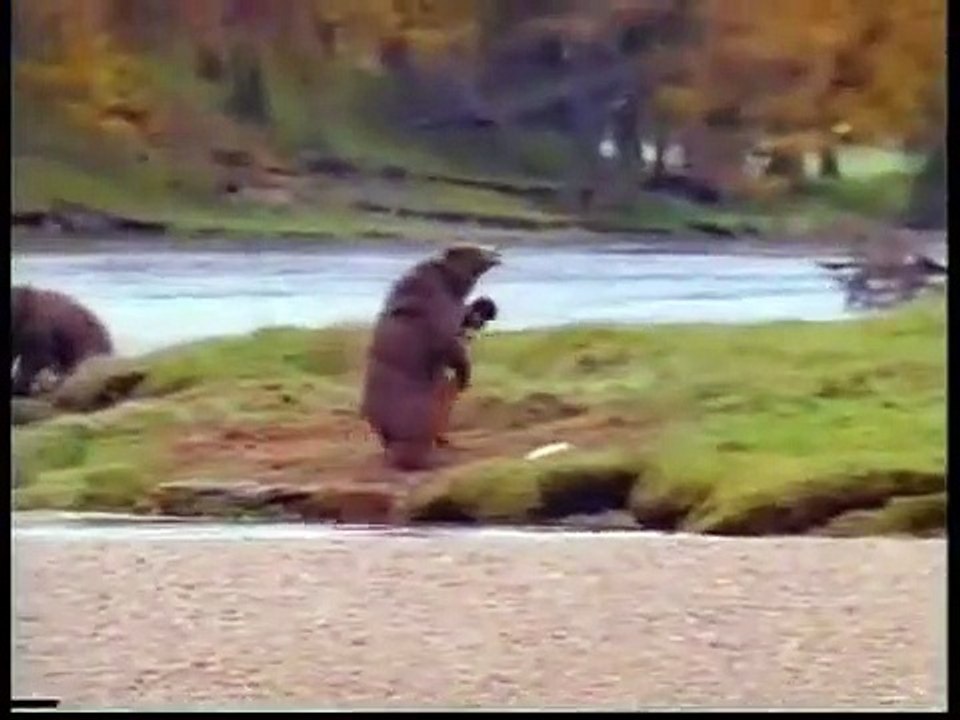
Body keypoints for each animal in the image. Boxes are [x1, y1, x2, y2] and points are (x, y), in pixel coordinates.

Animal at [361, 244, 501, 471]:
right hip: (414, 411)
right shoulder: (440, 310)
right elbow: (451, 343)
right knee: (414, 441)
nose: (496, 250)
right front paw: (465, 376)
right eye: (473, 248)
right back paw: (432, 458)